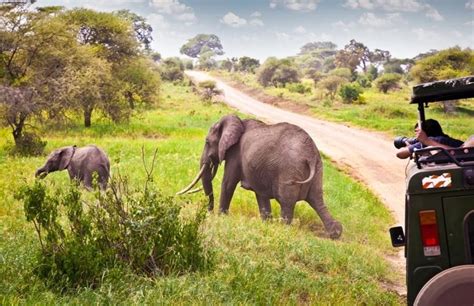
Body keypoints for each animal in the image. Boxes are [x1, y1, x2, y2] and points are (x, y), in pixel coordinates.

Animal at [178, 115, 340, 239]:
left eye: (207, 142)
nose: (208, 212)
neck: (238, 121)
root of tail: (310, 154)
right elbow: (260, 195)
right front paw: (266, 224)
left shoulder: (235, 154)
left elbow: (228, 184)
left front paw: (221, 218)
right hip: (318, 170)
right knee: (317, 200)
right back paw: (336, 233)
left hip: (290, 170)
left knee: (287, 202)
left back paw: (283, 231)